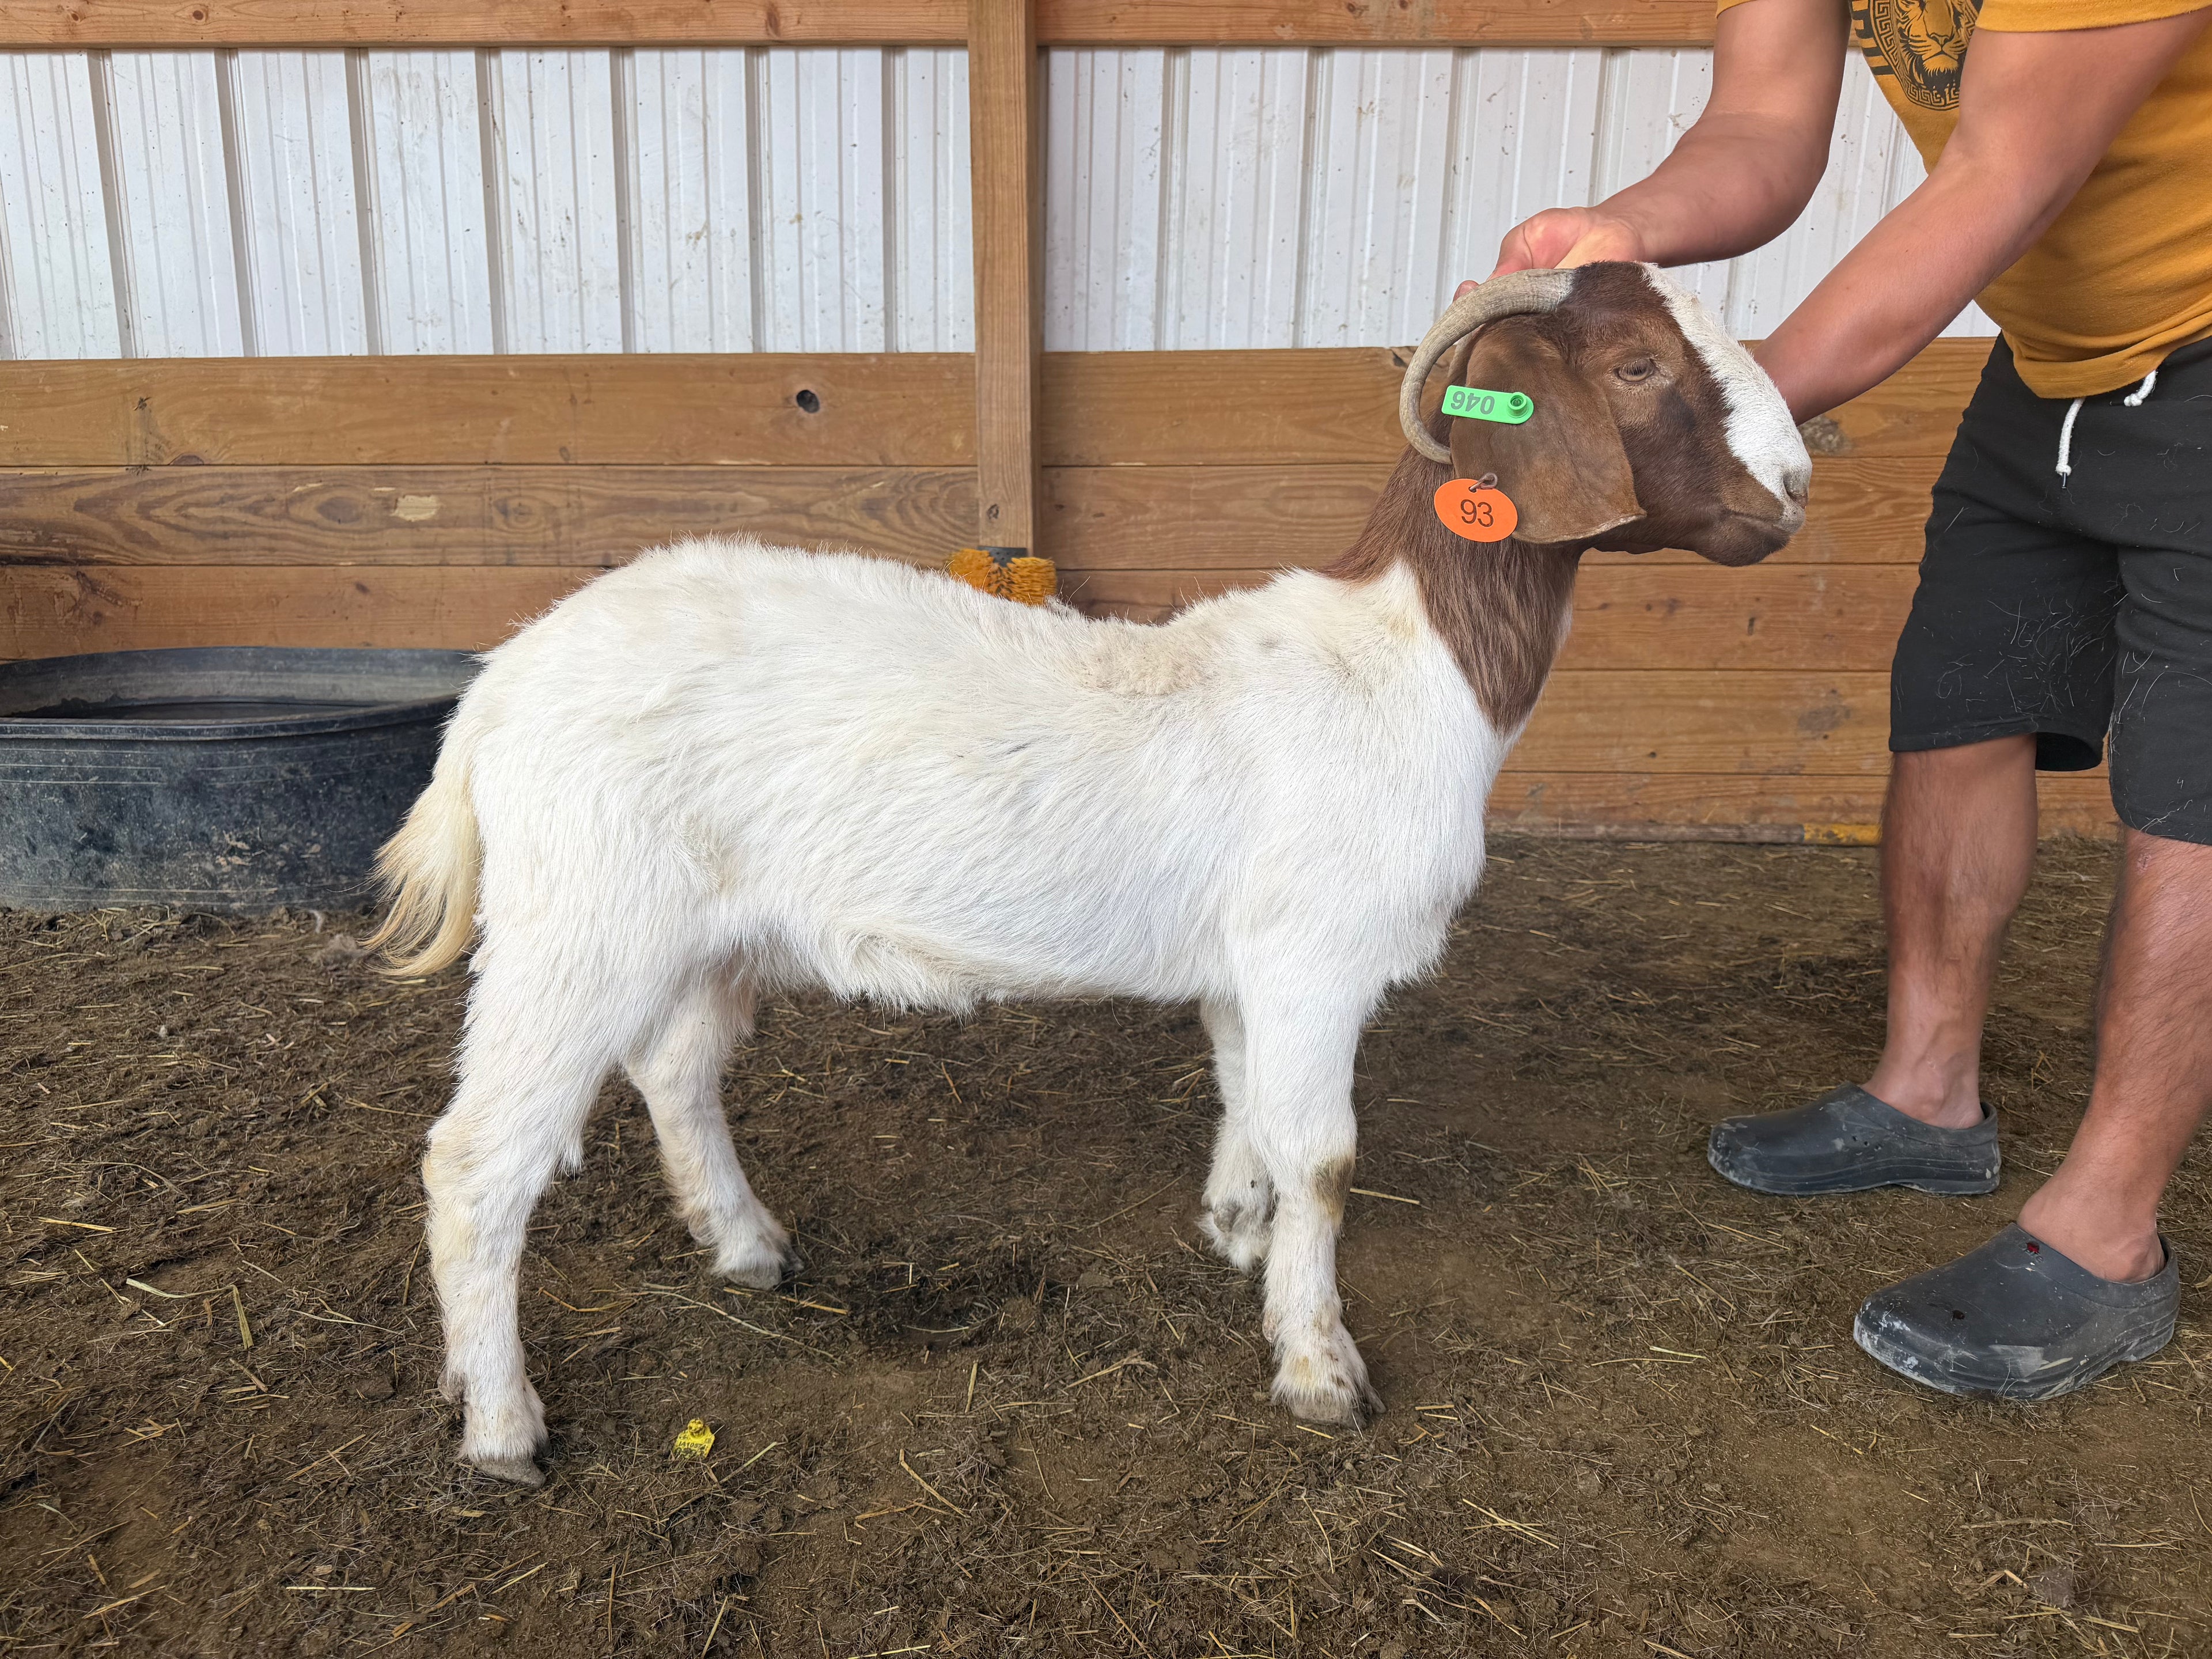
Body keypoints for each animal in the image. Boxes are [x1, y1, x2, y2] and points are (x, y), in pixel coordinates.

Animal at [372, 263, 1812, 1485]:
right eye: (1634, 366)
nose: (1795, 487)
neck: (1407, 665)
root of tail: (498, 690)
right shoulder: (1315, 958)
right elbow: (1326, 1158)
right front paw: (1319, 1366)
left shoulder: (1251, 971)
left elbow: (1249, 1105)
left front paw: (1236, 1229)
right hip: (579, 924)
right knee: (476, 1160)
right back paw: (501, 1426)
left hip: (706, 932)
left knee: (674, 1070)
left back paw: (746, 1248)